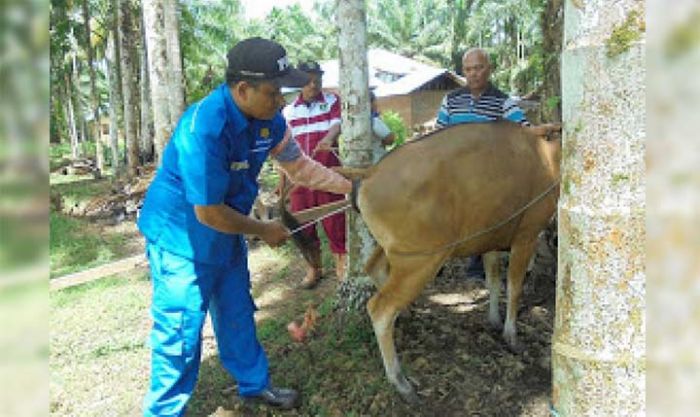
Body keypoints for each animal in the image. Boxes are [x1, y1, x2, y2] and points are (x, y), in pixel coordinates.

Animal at [336, 121, 560, 404]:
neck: (548, 157)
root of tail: (370, 173)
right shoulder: (526, 235)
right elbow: (514, 287)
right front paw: (511, 336)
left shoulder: (490, 239)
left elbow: (493, 280)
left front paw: (494, 320)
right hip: (422, 259)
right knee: (379, 308)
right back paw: (400, 381)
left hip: (397, 252)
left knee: (374, 268)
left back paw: (407, 314)